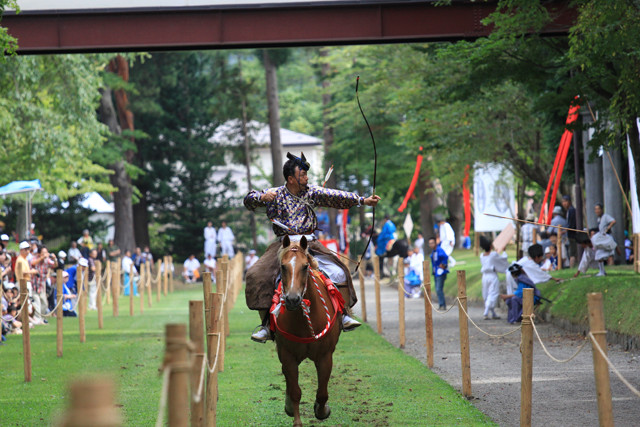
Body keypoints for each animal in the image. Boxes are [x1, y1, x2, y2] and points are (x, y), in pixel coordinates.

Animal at [276, 236, 344, 426]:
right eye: (283, 266)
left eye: (305, 266)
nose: (292, 299)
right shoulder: (288, 355)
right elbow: (295, 391)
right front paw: (296, 418)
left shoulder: (325, 355)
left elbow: (322, 393)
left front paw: (322, 410)